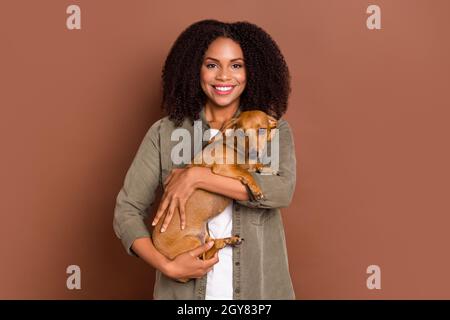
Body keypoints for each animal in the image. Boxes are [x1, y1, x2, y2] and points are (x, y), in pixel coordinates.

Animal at [152, 111, 278, 282]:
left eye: (262, 130)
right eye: (242, 133)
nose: (254, 152)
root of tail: (157, 248)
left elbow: (251, 166)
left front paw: (265, 168)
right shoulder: (224, 168)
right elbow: (246, 172)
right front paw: (256, 189)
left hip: (205, 235)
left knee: (211, 246)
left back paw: (228, 240)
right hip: (192, 244)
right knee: (206, 255)